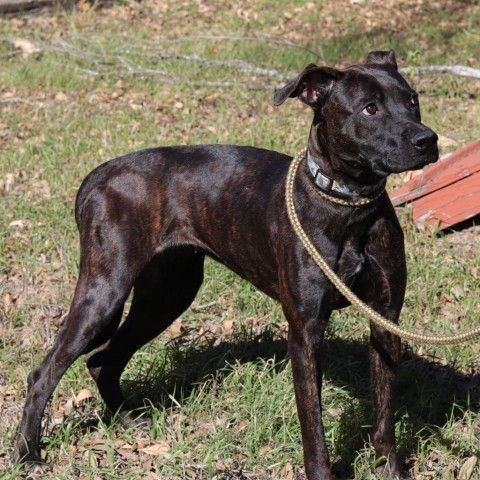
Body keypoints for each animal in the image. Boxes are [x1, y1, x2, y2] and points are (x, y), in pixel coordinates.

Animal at [15, 50, 438, 478]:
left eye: (413, 100)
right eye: (370, 108)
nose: (428, 140)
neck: (348, 207)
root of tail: (97, 175)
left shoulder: (385, 319)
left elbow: (384, 415)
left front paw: (391, 470)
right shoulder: (305, 333)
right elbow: (313, 427)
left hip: (168, 294)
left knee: (103, 358)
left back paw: (126, 418)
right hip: (105, 292)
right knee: (44, 372)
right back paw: (28, 453)